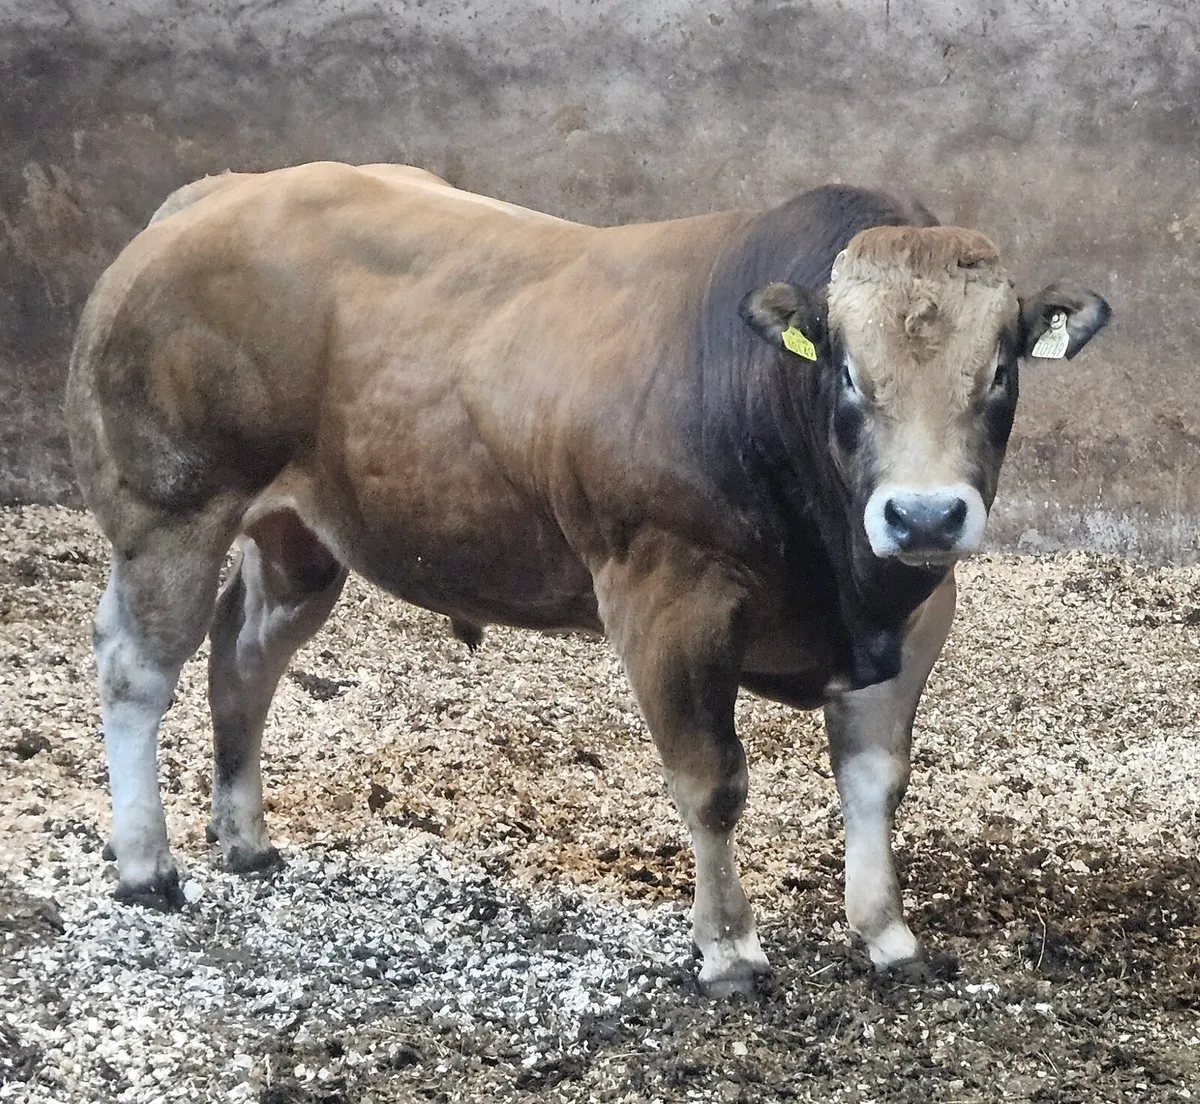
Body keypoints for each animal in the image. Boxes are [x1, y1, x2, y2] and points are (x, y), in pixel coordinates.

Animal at [66, 162, 1110, 996]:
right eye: (848, 373)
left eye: (1002, 369)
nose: (924, 514)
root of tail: (216, 194)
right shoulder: (665, 596)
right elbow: (712, 782)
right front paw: (729, 951)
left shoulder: (918, 611)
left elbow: (876, 780)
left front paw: (888, 934)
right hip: (170, 509)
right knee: (134, 670)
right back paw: (147, 865)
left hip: (300, 537)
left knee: (244, 657)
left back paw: (243, 839)